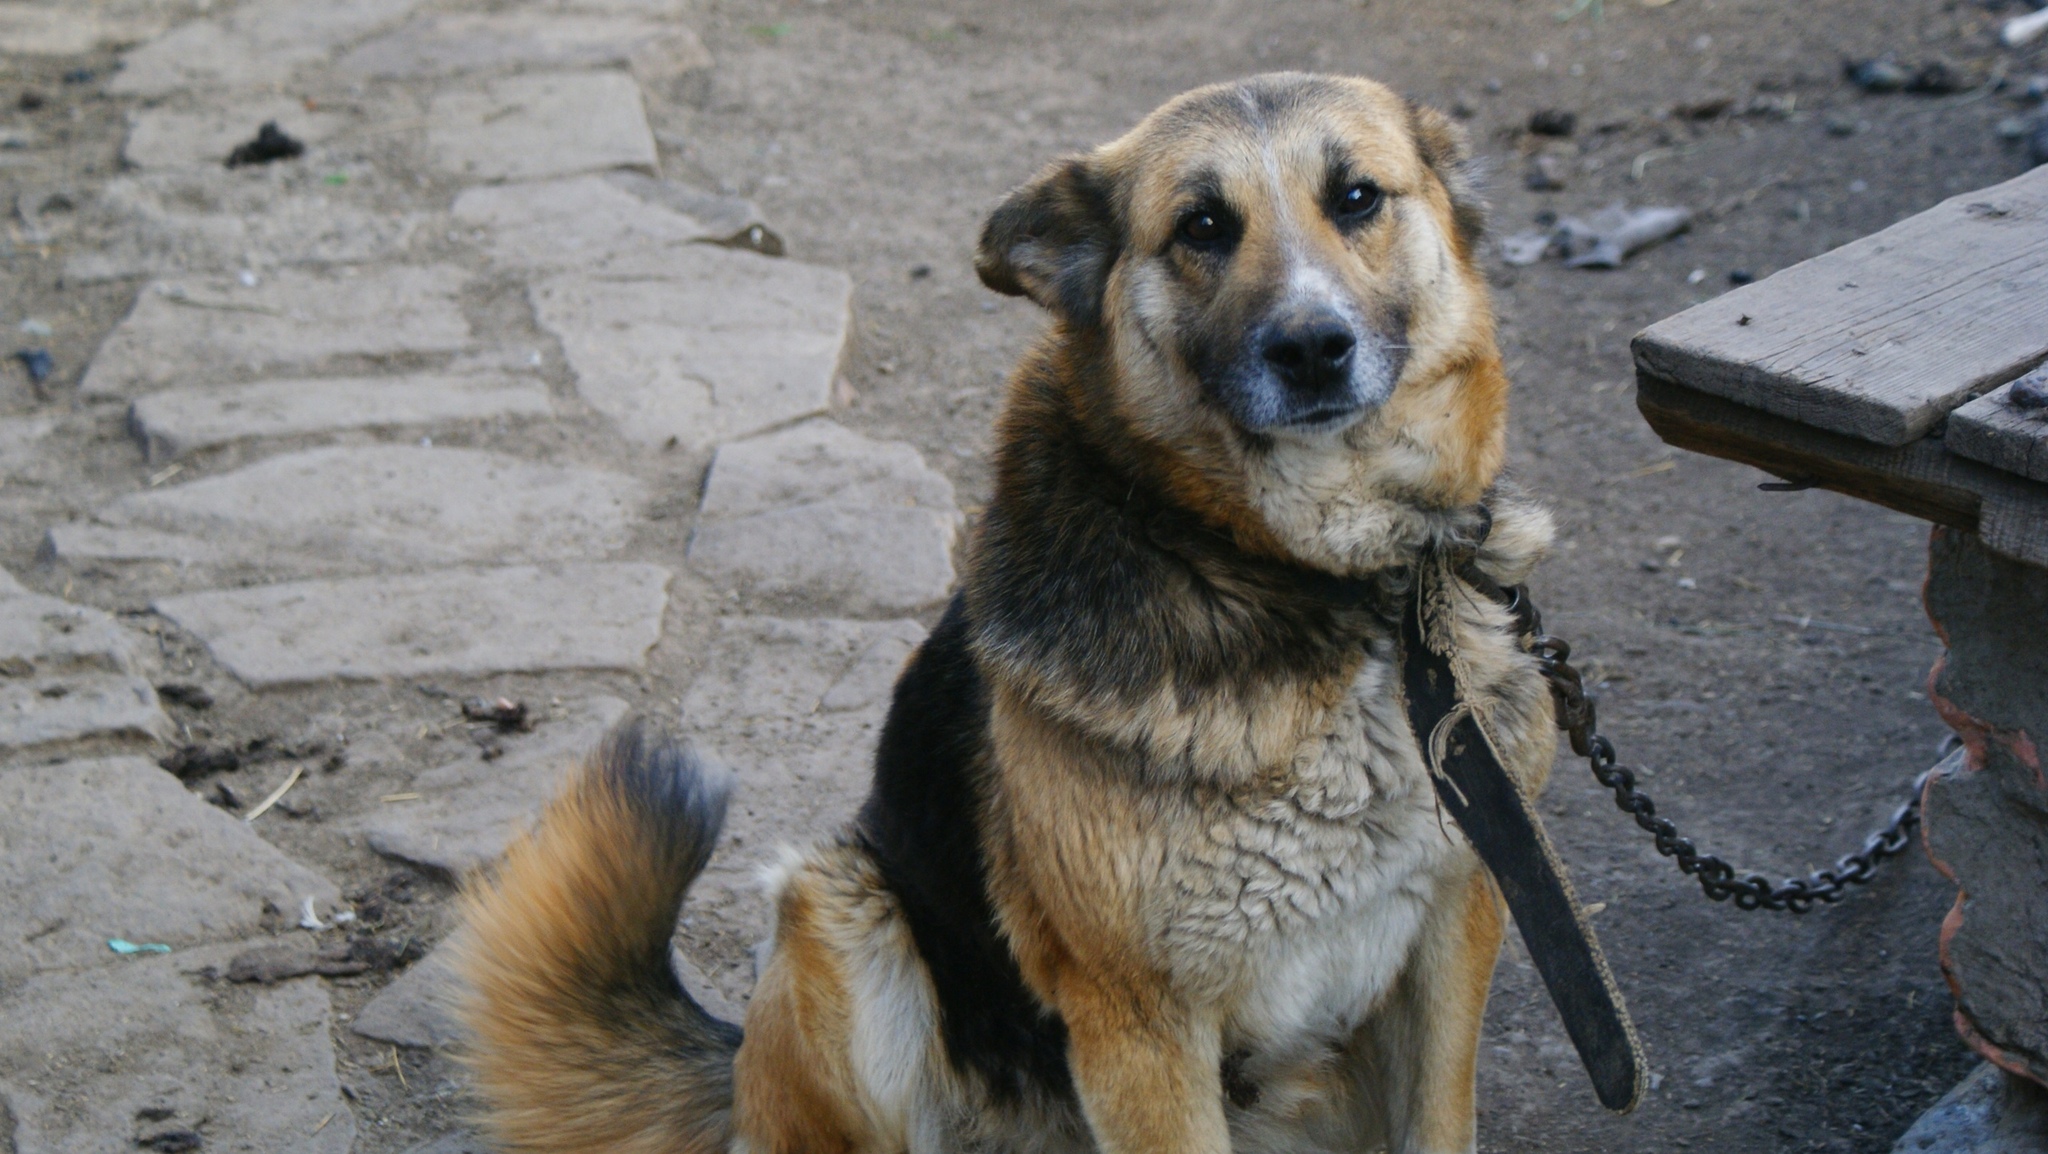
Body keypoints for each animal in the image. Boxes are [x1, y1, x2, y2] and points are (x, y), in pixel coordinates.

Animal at [456, 74, 1556, 1154]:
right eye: (1201, 225)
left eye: (1357, 198)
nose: (1313, 347)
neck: (1329, 581)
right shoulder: (1138, 1021)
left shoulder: (1457, 929)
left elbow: (1440, 1119)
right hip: (842, 913)